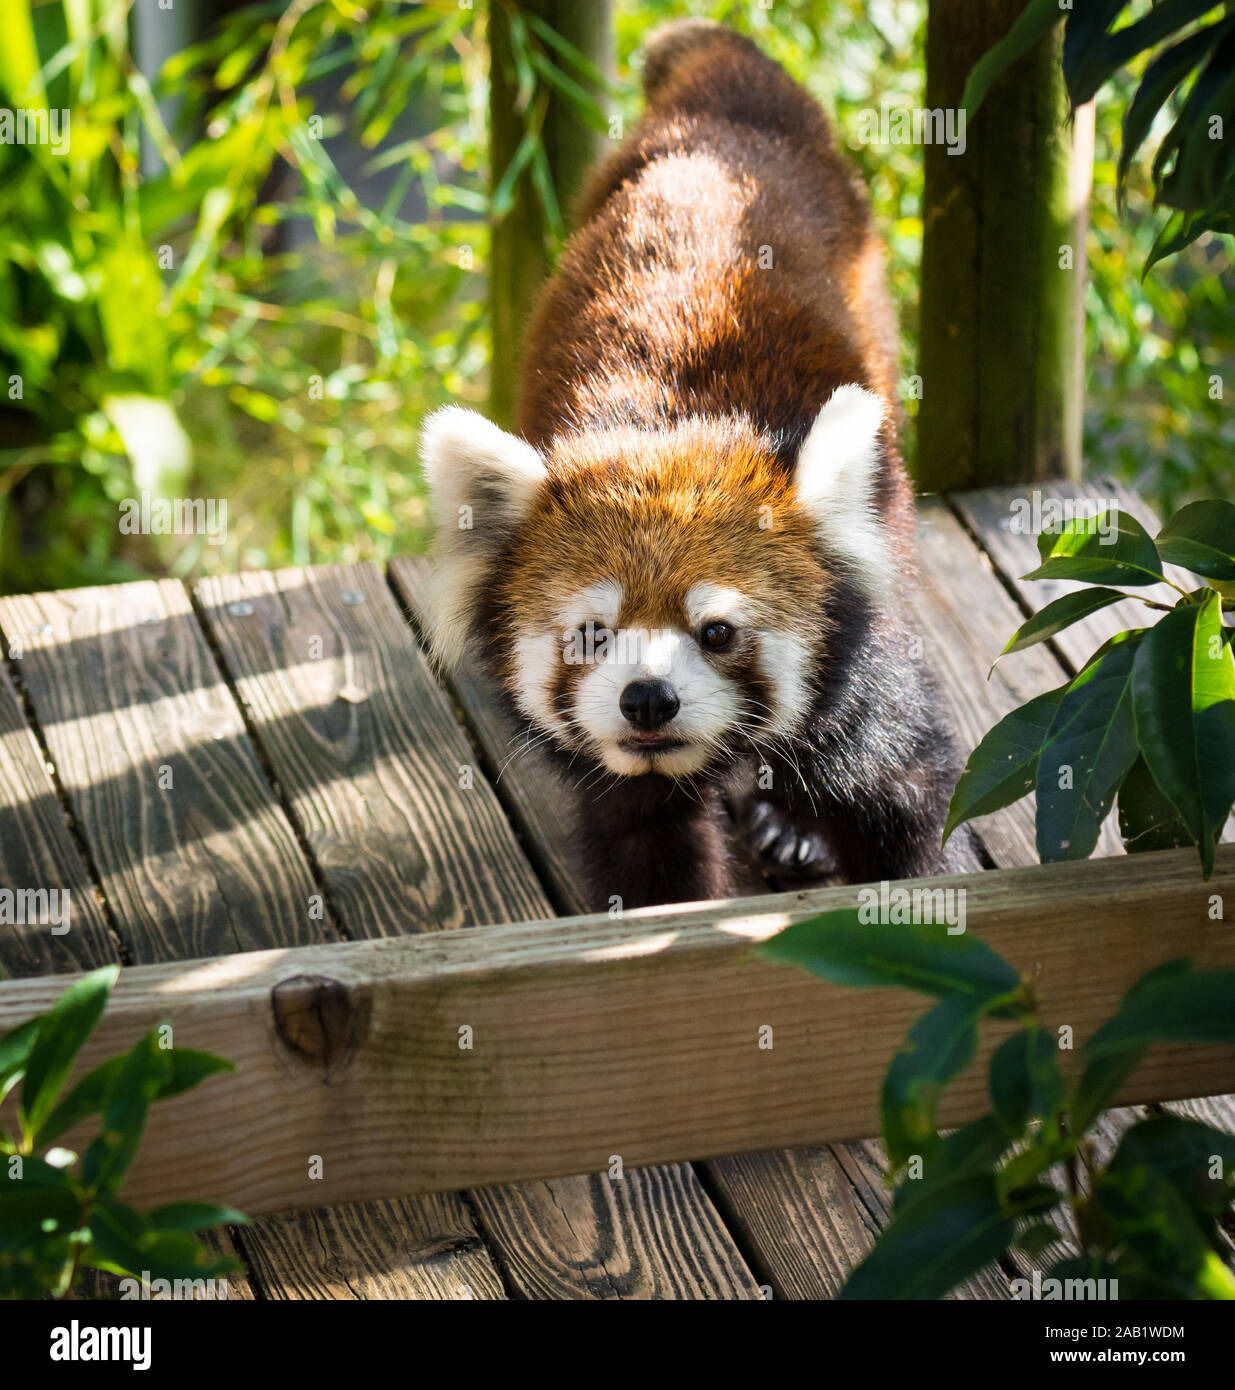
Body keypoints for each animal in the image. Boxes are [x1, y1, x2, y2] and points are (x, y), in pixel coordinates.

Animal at [422, 24, 973, 911]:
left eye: (716, 632)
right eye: (591, 633)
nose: (647, 699)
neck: (672, 427)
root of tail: (725, 108)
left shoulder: (863, 670)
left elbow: (902, 795)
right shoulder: (619, 776)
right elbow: (647, 849)